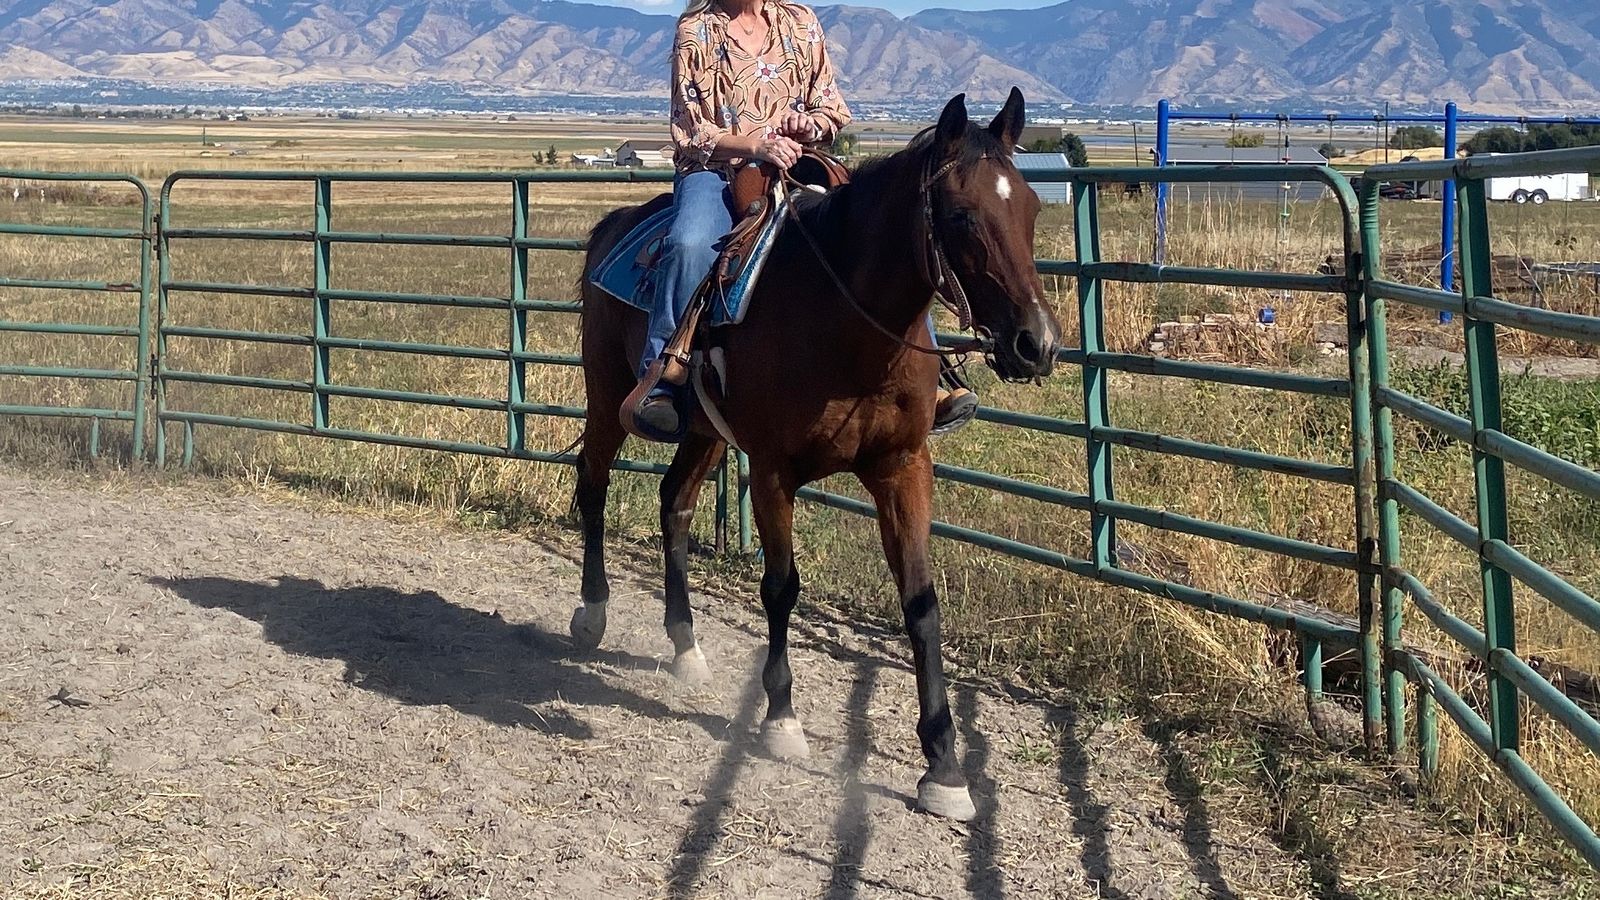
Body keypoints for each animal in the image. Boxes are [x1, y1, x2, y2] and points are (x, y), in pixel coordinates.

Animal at [570, 89, 1062, 820]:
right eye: (962, 215)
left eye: (1029, 208)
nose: (1038, 343)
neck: (846, 324)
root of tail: (613, 227)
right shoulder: (774, 471)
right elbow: (781, 588)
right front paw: (781, 720)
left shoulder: (903, 467)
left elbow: (921, 603)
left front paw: (944, 768)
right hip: (608, 396)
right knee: (593, 484)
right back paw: (593, 611)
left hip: (705, 431)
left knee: (675, 504)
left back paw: (686, 645)